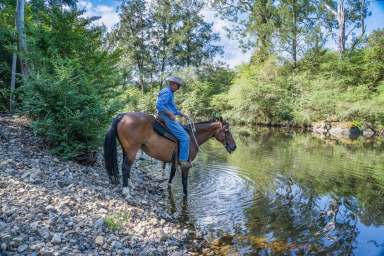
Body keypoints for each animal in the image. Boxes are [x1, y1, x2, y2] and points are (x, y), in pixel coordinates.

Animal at [102, 112, 237, 196]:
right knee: (125, 167)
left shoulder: (174, 161)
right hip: (132, 150)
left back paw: (131, 185)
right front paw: (185, 195)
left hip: (127, 150)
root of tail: (123, 115)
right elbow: (184, 183)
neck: (192, 136)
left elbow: (171, 176)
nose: (234, 147)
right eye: (226, 131)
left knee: (126, 167)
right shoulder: (185, 165)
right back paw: (126, 191)